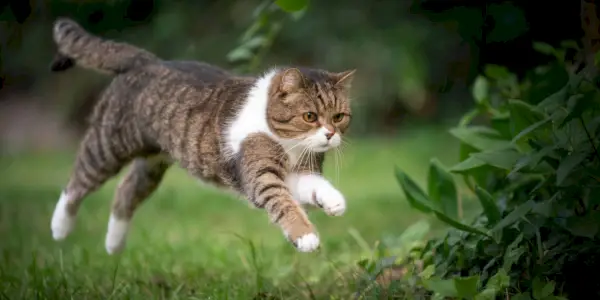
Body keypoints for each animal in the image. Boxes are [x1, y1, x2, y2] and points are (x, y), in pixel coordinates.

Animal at [50, 17, 356, 254]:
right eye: (310, 117)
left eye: (339, 117)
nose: (330, 134)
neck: (289, 144)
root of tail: (146, 61)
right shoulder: (258, 177)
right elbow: (283, 203)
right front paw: (305, 236)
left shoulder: (301, 172)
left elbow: (314, 186)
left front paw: (333, 201)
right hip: (109, 144)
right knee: (78, 180)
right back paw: (60, 227)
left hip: (153, 162)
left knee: (126, 189)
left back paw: (113, 244)